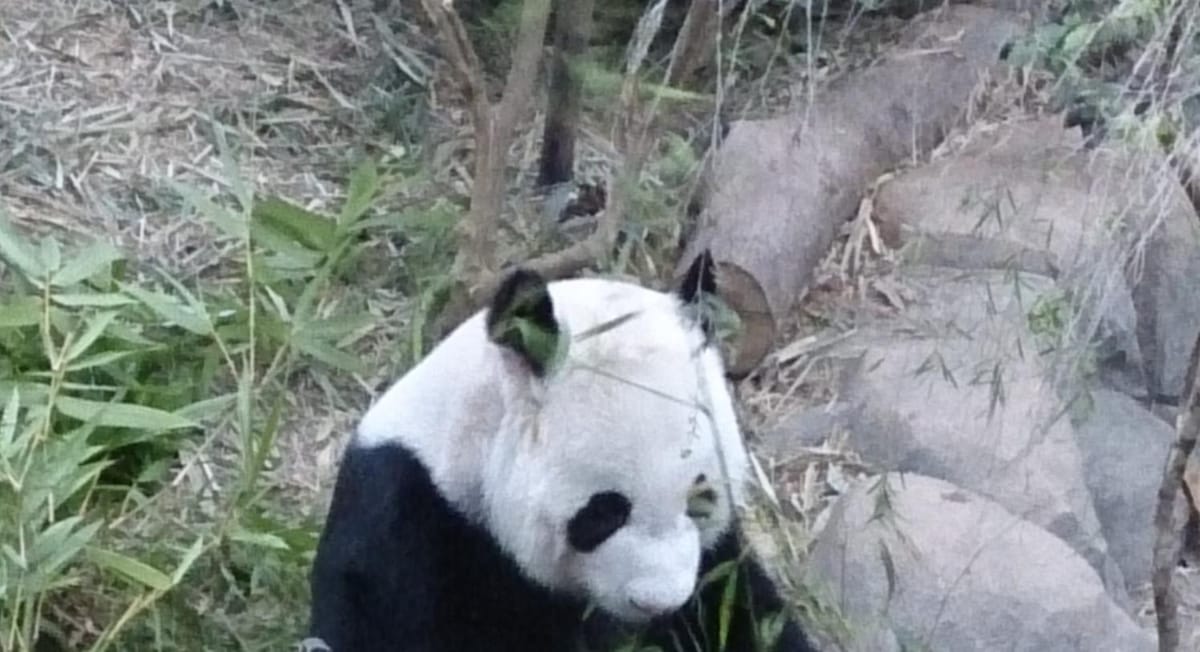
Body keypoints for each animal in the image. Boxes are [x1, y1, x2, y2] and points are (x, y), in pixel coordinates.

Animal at [306, 252, 818, 652]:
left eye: (701, 499)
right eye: (605, 512)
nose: (657, 601)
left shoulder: (716, 562)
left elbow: (743, 614)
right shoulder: (411, 525)